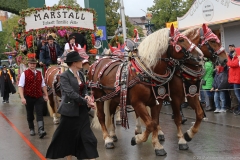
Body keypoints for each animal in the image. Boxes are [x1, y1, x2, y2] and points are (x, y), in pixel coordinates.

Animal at [88, 25, 202, 156]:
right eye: (181, 40)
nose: (200, 56)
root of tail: (97, 62)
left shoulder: (159, 101)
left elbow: (155, 122)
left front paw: (157, 145)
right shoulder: (140, 103)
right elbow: (152, 123)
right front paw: (138, 139)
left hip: (113, 97)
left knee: (111, 112)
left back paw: (113, 134)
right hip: (98, 96)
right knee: (101, 116)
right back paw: (108, 139)